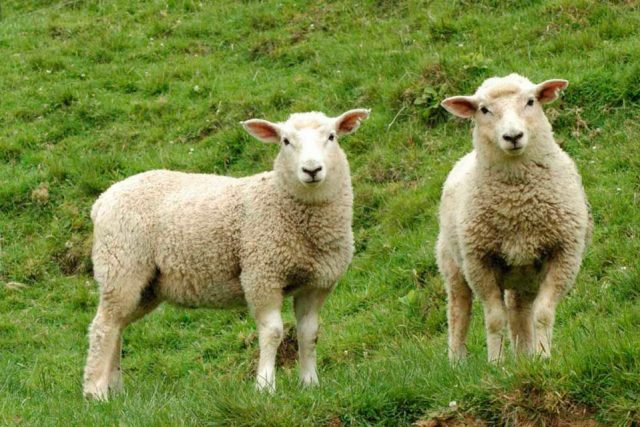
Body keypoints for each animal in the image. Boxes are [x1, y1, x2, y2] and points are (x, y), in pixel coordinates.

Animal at [82, 108, 370, 400]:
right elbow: (273, 332)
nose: (311, 170)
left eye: (332, 137)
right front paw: (265, 386)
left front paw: (310, 383)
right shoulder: (261, 274)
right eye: (285, 141)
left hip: (147, 286)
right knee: (102, 328)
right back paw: (96, 392)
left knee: (117, 326)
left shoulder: (317, 283)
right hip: (121, 266)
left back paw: (115, 390)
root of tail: (102, 200)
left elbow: (309, 333)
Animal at [437, 74, 591, 363]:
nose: (513, 136)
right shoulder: (479, 262)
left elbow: (543, 313)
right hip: (453, 264)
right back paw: (457, 362)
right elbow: (495, 319)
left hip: (524, 274)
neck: (518, 204)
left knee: (519, 311)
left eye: (531, 101)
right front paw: (496, 364)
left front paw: (543, 359)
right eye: (484, 109)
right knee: (458, 312)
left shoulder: (564, 255)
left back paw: (525, 357)